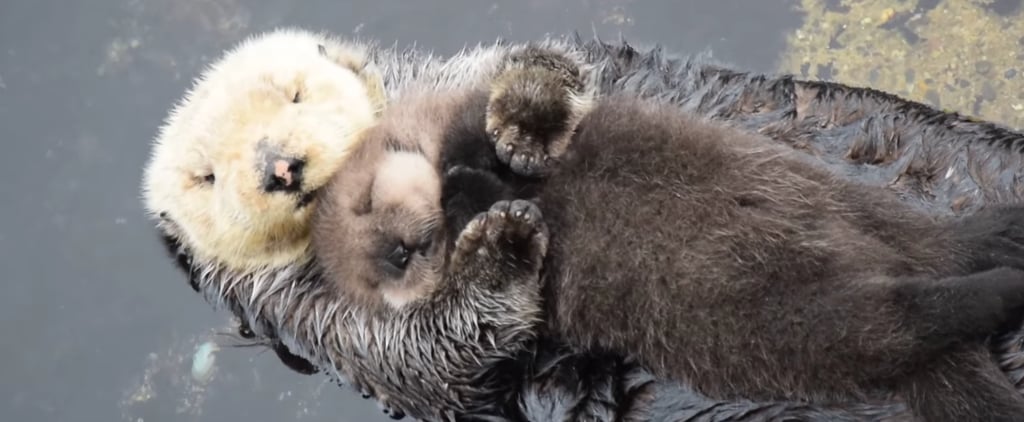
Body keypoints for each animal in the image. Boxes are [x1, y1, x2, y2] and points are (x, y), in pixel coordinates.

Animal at [143, 27, 1024, 421]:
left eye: (293, 91)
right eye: (206, 175)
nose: (278, 165)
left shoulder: (461, 78)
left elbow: (554, 69)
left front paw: (521, 110)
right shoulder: (336, 328)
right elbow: (453, 355)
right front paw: (496, 243)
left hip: (857, 211)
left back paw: (1000, 241)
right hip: (797, 320)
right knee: (899, 317)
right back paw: (997, 283)